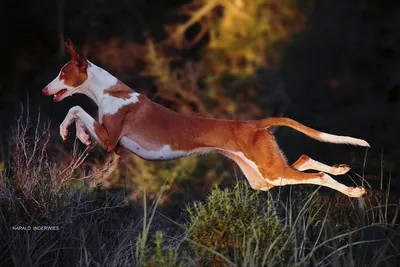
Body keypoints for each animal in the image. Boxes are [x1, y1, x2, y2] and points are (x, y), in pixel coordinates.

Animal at [42, 40, 370, 198]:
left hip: (269, 171)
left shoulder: (111, 139)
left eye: (62, 73)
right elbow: (79, 112)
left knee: (316, 176)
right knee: (302, 160)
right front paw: (81, 135)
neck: (109, 91)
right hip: (263, 178)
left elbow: (75, 109)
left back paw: (352, 191)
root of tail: (254, 124)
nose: (44, 89)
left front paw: (71, 133)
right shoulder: (116, 147)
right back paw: (340, 168)